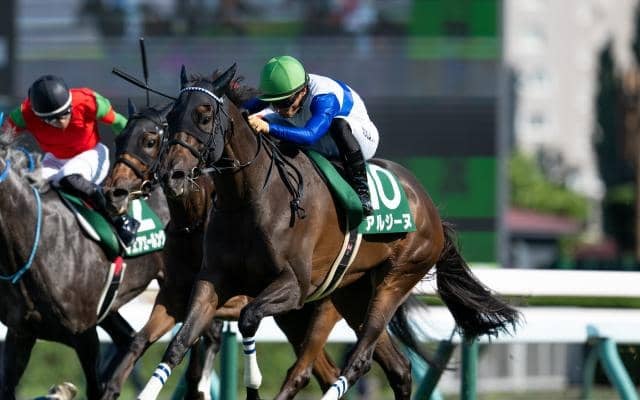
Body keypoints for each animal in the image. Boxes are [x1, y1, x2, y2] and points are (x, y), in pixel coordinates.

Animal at [101, 94, 424, 399]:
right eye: (120, 137)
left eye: (150, 140)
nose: (113, 191)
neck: (196, 220)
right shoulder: (176, 295)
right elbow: (142, 341)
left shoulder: (230, 302)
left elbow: (198, 366)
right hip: (309, 314)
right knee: (375, 366)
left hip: (322, 307)